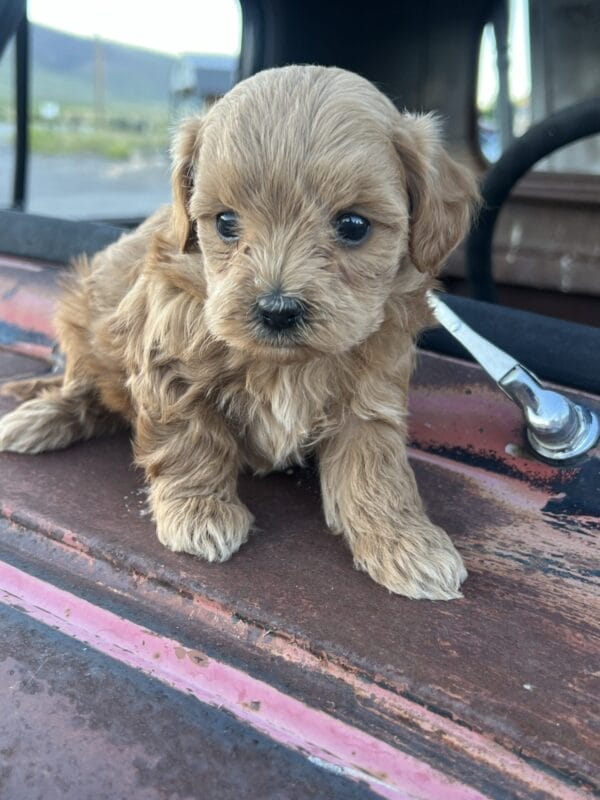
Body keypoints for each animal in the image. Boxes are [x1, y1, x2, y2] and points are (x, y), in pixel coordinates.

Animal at [0, 65, 478, 596]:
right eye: (226, 222)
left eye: (354, 225)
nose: (277, 309)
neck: (285, 363)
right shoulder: (167, 359)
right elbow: (189, 438)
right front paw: (199, 512)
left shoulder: (370, 395)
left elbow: (376, 466)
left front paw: (404, 541)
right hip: (83, 313)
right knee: (84, 388)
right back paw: (41, 418)